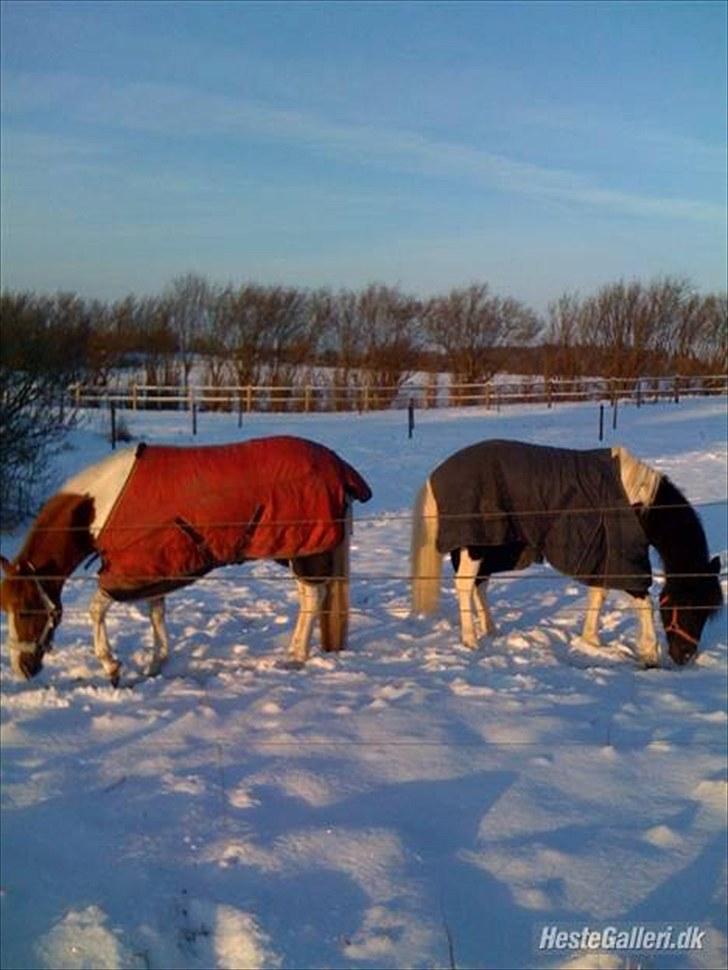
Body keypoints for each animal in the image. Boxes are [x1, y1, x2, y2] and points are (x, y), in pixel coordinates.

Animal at [0, 436, 372, 684]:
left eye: (26, 610)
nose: (22, 669)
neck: (100, 506)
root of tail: (341, 468)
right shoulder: (152, 569)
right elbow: (156, 613)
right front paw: (155, 664)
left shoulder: (127, 573)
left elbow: (96, 610)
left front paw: (112, 666)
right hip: (297, 551)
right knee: (309, 597)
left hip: (306, 552)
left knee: (313, 597)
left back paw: (295, 658)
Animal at [411, 440, 722, 667]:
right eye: (690, 607)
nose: (685, 656)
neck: (638, 501)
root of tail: (434, 475)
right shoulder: (625, 558)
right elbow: (643, 600)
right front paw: (648, 652)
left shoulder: (603, 551)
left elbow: (599, 594)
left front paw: (591, 641)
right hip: (476, 546)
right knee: (465, 585)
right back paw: (470, 639)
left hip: (490, 545)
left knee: (479, 585)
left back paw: (490, 629)